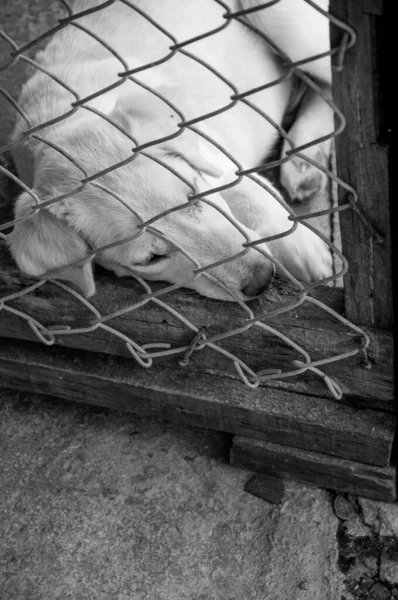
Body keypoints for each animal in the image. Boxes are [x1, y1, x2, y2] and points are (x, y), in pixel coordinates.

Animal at [8, 0, 332, 300]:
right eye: (152, 259)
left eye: (195, 197)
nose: (262, 279)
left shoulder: (217, 159)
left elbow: (253, 193)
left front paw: (305, 249)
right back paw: (306, 164)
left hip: (288, 26)